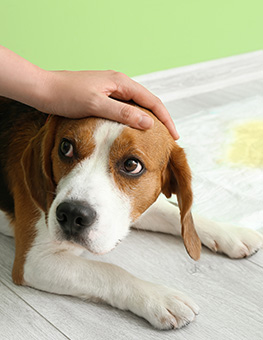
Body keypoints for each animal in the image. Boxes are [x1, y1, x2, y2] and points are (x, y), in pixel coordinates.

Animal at [0, 96, 263, 330]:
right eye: (66, 147)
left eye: (132, 165)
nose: (72, 215)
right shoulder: (33, 263)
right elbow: (110, 271)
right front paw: (159, 297)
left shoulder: (132, 211)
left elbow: (173, 213)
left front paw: (231, 232)